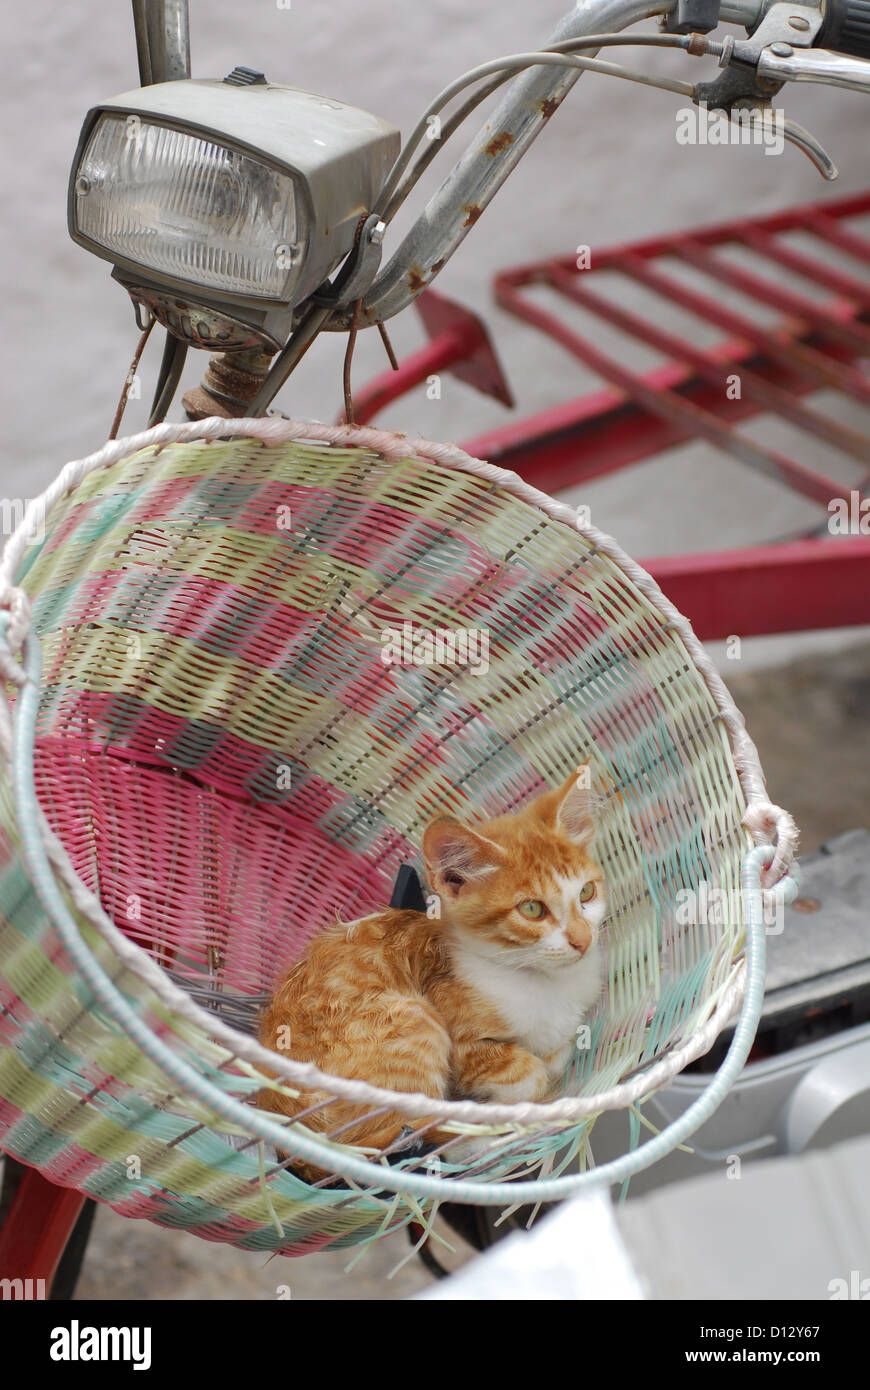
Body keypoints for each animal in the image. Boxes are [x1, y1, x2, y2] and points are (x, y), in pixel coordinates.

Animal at [257, 767, 603, 1167]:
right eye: (532, 909)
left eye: (587, 892)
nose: (583, 940)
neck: (543, 981)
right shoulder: (465, 1042)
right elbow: (529, 1073)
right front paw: (515, 1100)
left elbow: (559, 1054)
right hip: (412, 1019)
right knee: (399, 1138)